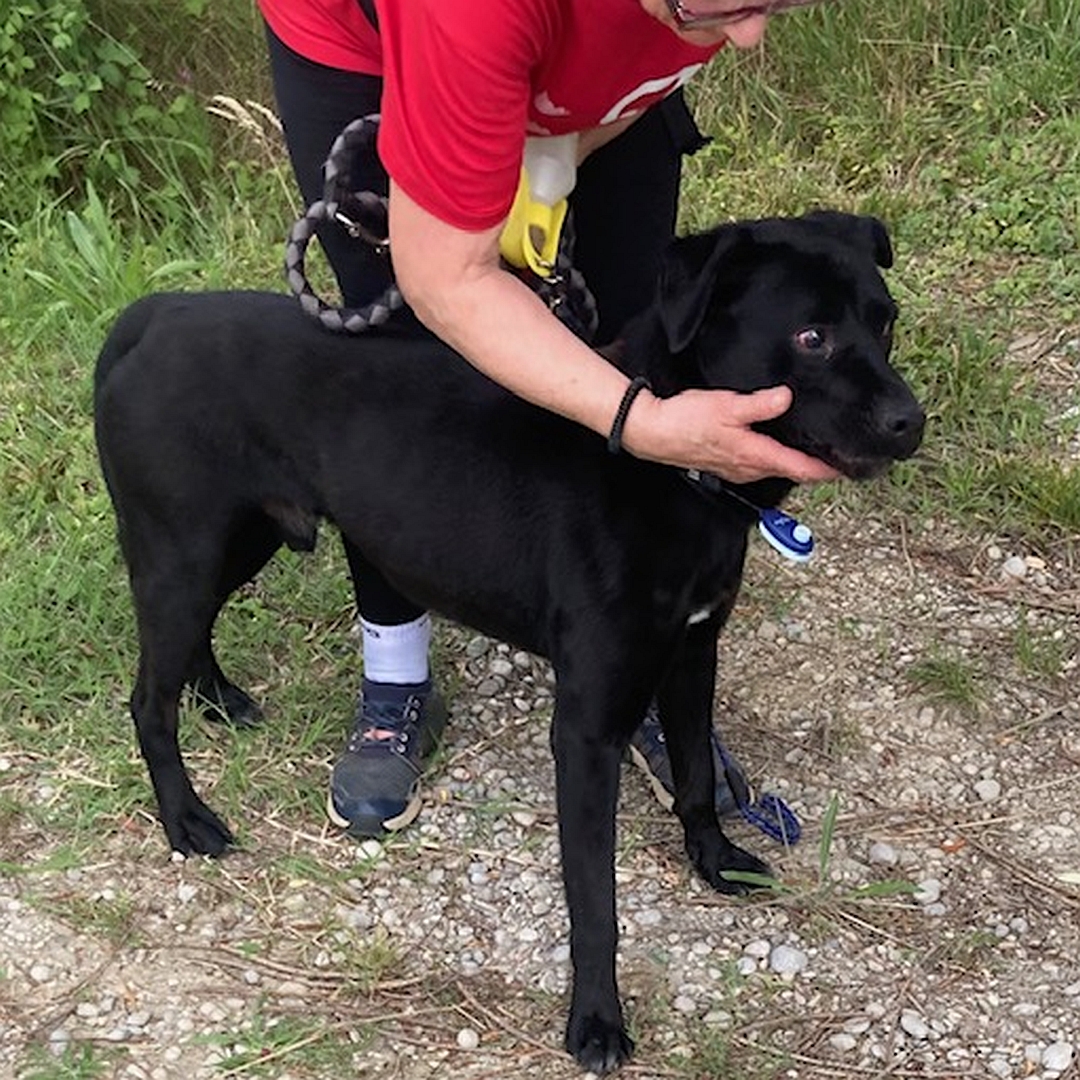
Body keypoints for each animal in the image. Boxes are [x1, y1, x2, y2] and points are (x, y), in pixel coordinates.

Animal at [92, 210, 924, 1071]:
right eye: (811, 336)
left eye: (885, 321)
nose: (911, 423)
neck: (661, 469)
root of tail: (154, 316)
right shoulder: (585, 731)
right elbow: (595, 899)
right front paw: (596, 1019)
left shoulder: (695, 656)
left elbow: (696, 774)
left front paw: (714, 858)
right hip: (185, 552)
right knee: (146, 700)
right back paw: (186, 818)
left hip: (232, 543)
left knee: (186, 648)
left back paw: (219, 699)